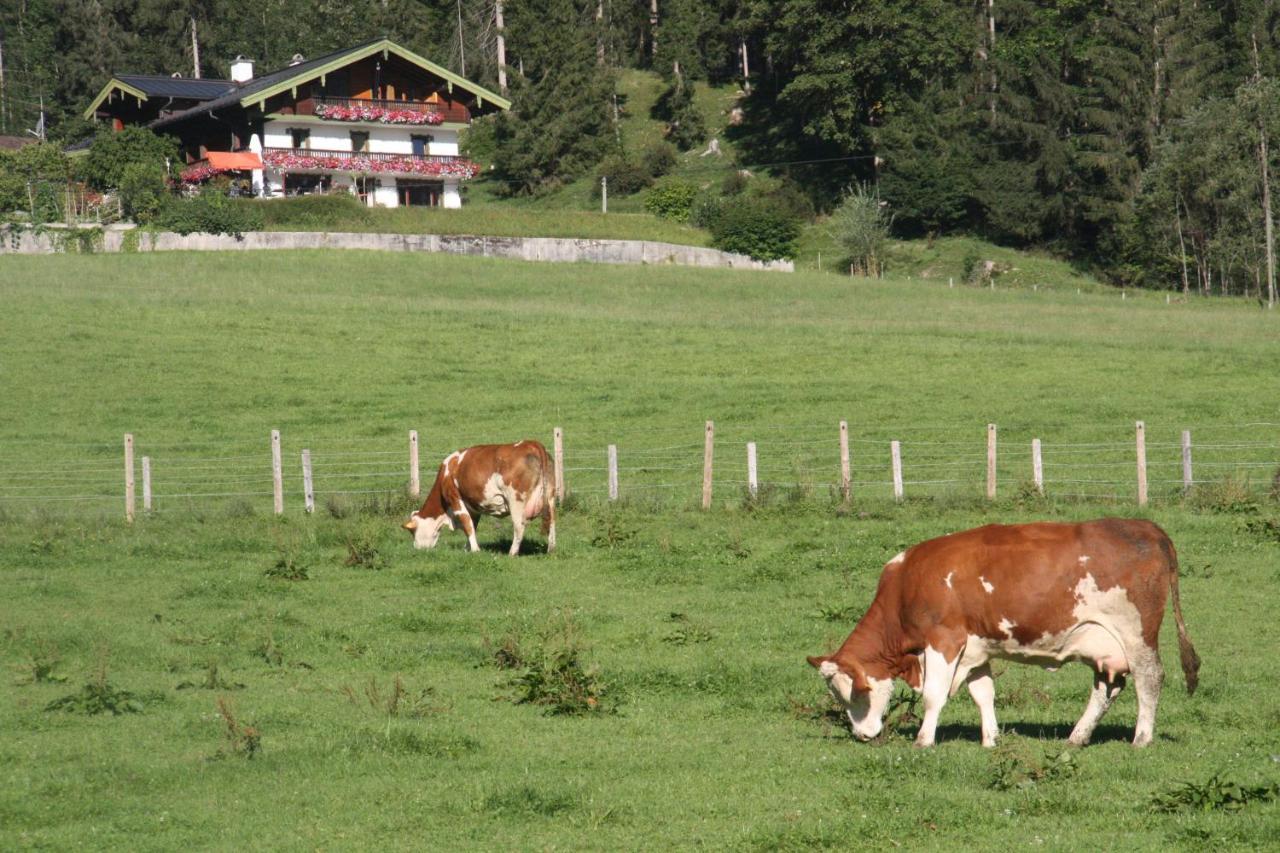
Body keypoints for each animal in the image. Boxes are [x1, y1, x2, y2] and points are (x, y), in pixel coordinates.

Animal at [399, 440, 555, 555]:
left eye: (412, 531)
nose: (417, 548)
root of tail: (531, 444)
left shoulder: (454, 498)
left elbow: (467, 524)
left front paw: (475, 550)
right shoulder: (473, 507)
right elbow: (472, 525)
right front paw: (467, 548)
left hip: (516, 500)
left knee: (519, 526)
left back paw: (512, 553)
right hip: (550, 498)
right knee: (552, 522)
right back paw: (551, 550)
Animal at [808, 512, 1198, 742]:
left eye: (854, 693)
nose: (862, 734)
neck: (909, 582)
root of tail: (1146, 526)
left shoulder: (944, 640)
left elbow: (934, 694)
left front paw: (923, 740)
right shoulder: (977, 648)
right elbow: (983, 693)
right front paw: (991, 739)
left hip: (1136, 634)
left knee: (1149, 678)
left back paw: (1141, 738)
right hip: (1104, 644)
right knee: (1107, 687)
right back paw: (1076, 737)